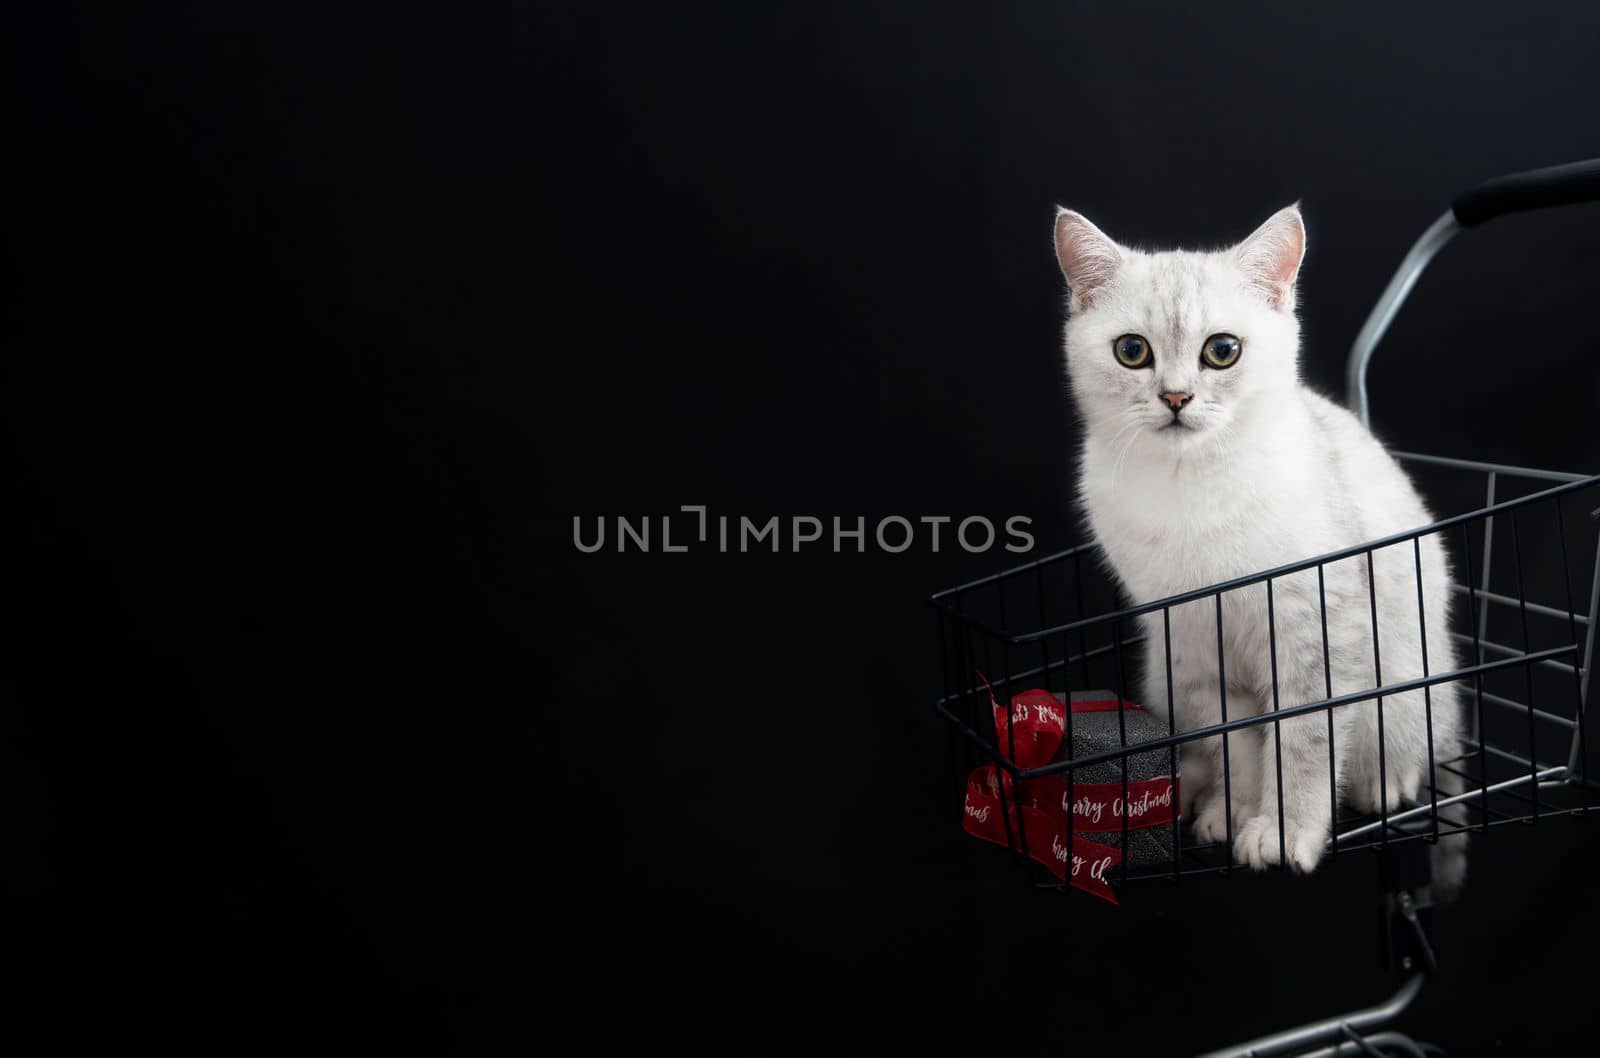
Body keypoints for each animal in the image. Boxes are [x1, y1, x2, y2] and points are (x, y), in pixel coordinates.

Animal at [1056, 202, 1465, 889]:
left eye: (1222, 352)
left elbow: (1301, 743)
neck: (1191, 484)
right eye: (1131, 351)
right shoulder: (1191, 641)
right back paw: (1199, 795)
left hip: (1411, 680)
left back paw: (1386, 782)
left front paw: (1283, 831)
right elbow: (1237, 741)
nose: (1175, 397)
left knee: (1414, 744)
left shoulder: (1314, 629)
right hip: (1162, 674)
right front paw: (1235, 813)